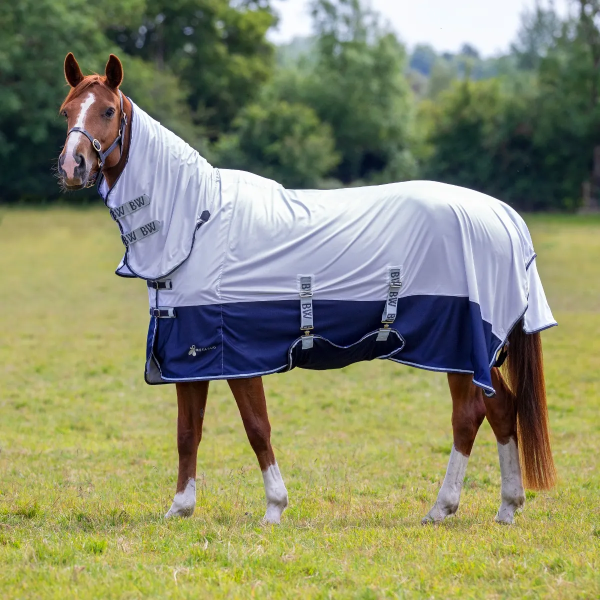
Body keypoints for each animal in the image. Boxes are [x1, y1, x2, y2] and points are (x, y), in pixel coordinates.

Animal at [58, 55, 556, 524]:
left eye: (107, 110)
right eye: (66, 111)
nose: (72, 165)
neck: (197, 221)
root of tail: (503, 216)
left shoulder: (239, 354)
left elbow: (256, 427)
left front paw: (274, 508)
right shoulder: (189, 356)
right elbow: (187, 432)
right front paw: (180, 508)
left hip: (457, 347)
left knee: (468, 417)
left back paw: (442, 507)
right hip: (478, 354)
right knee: (503, 409)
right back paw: (508, 506)